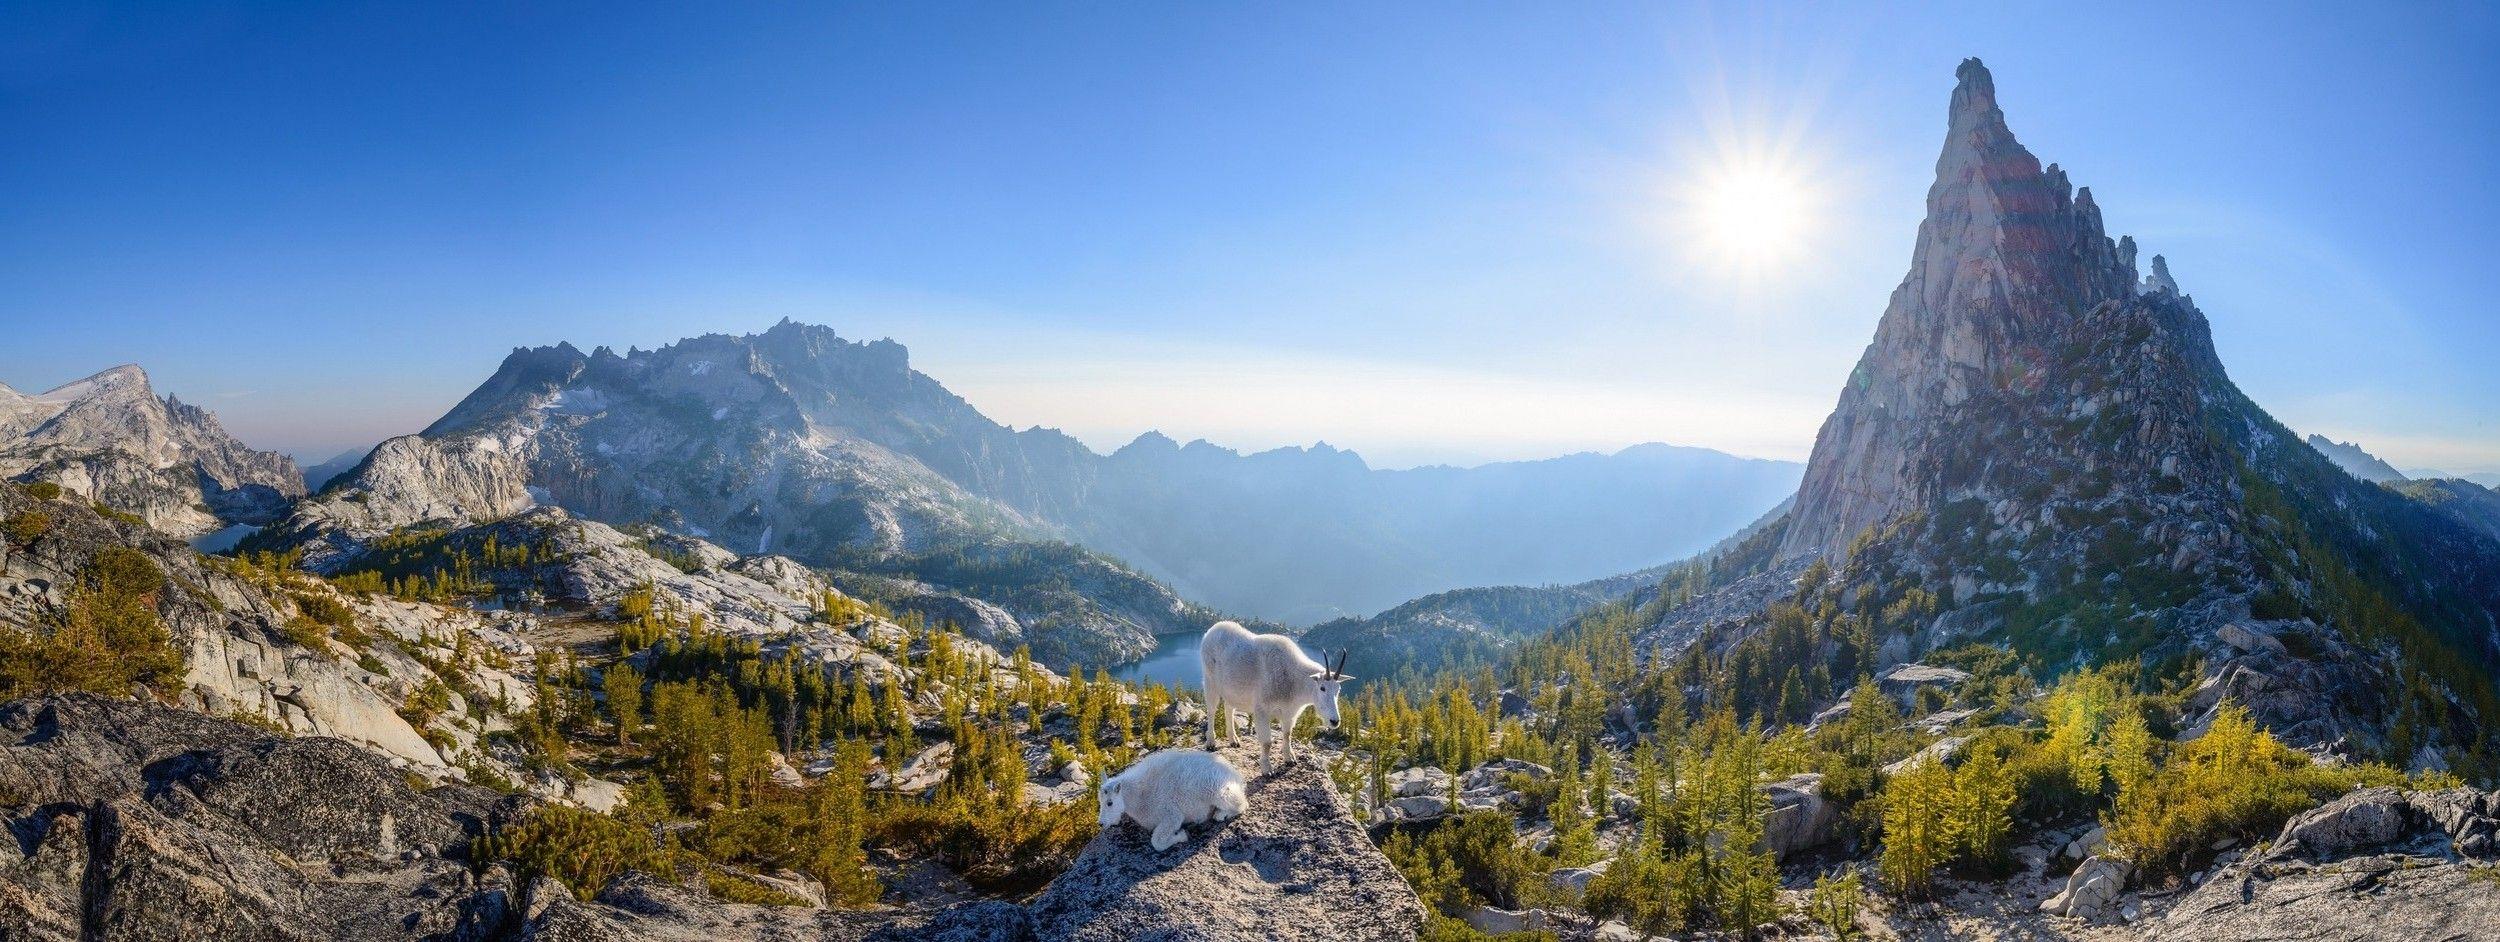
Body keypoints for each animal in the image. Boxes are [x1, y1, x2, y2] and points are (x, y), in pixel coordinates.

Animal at [1095, 744, 1250, 849]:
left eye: (1109, 803)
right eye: (1100, 801)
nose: (1101, 823)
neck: (1138, 795)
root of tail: (1235, 774)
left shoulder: (1171, 816)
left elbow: (1157, 842)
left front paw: (1181, 835)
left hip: (1217, 791)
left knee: (1241, 804)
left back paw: (1220, 814)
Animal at [1200, 619, 1360, 764]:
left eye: (1338, 689)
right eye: (1322, 688)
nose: (1334, 721)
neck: (1293, 680)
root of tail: (1212, 630)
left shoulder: (1290, 713)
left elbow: (1287, 734)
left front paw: (1290, 759)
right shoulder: (1262, 710)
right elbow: (1267, 742)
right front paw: (1267, 769)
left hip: (1232, 690)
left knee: (1229, 708)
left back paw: (1233, 740)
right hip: (1210, 681)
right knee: (1212, 711)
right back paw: (1211, 742)